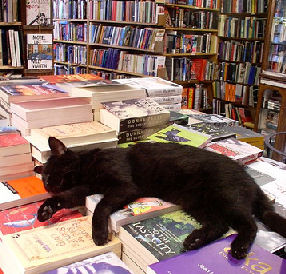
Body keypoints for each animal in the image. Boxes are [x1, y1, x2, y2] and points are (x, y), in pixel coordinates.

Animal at [34, 137, 286, 260]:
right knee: (220, 225)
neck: (87, 169)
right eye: (44, 179)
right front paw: (45, 210)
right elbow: (66, 198)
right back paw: (194, 240)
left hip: (226, 197)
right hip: (198, 203)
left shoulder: (124, 186)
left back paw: (238, 248)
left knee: (250, 224)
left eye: (51, 174)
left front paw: (98, 234)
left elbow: (100, 207)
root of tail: (249, 178)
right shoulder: (84, 188)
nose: (48, 185)